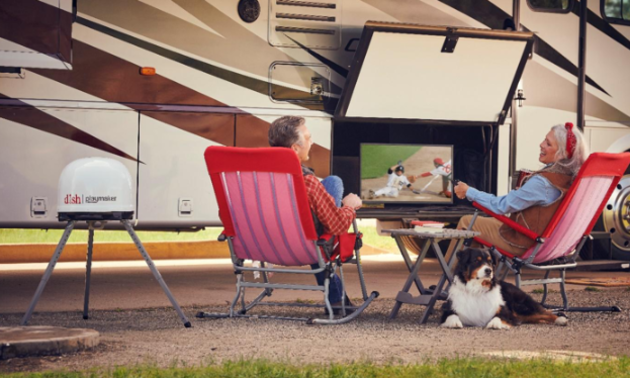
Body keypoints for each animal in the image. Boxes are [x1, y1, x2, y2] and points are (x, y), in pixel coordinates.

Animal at [442, 247, 572, 330]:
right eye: (475, 261)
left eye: (490, 261)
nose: (489, 270)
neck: (477, 289)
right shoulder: (450, 308)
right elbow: (451, 316)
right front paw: (454, 323)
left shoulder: (505, 311)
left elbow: (499, 317)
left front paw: (494, 324)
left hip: (521, 307)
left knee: (544, 312)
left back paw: (560, 319)